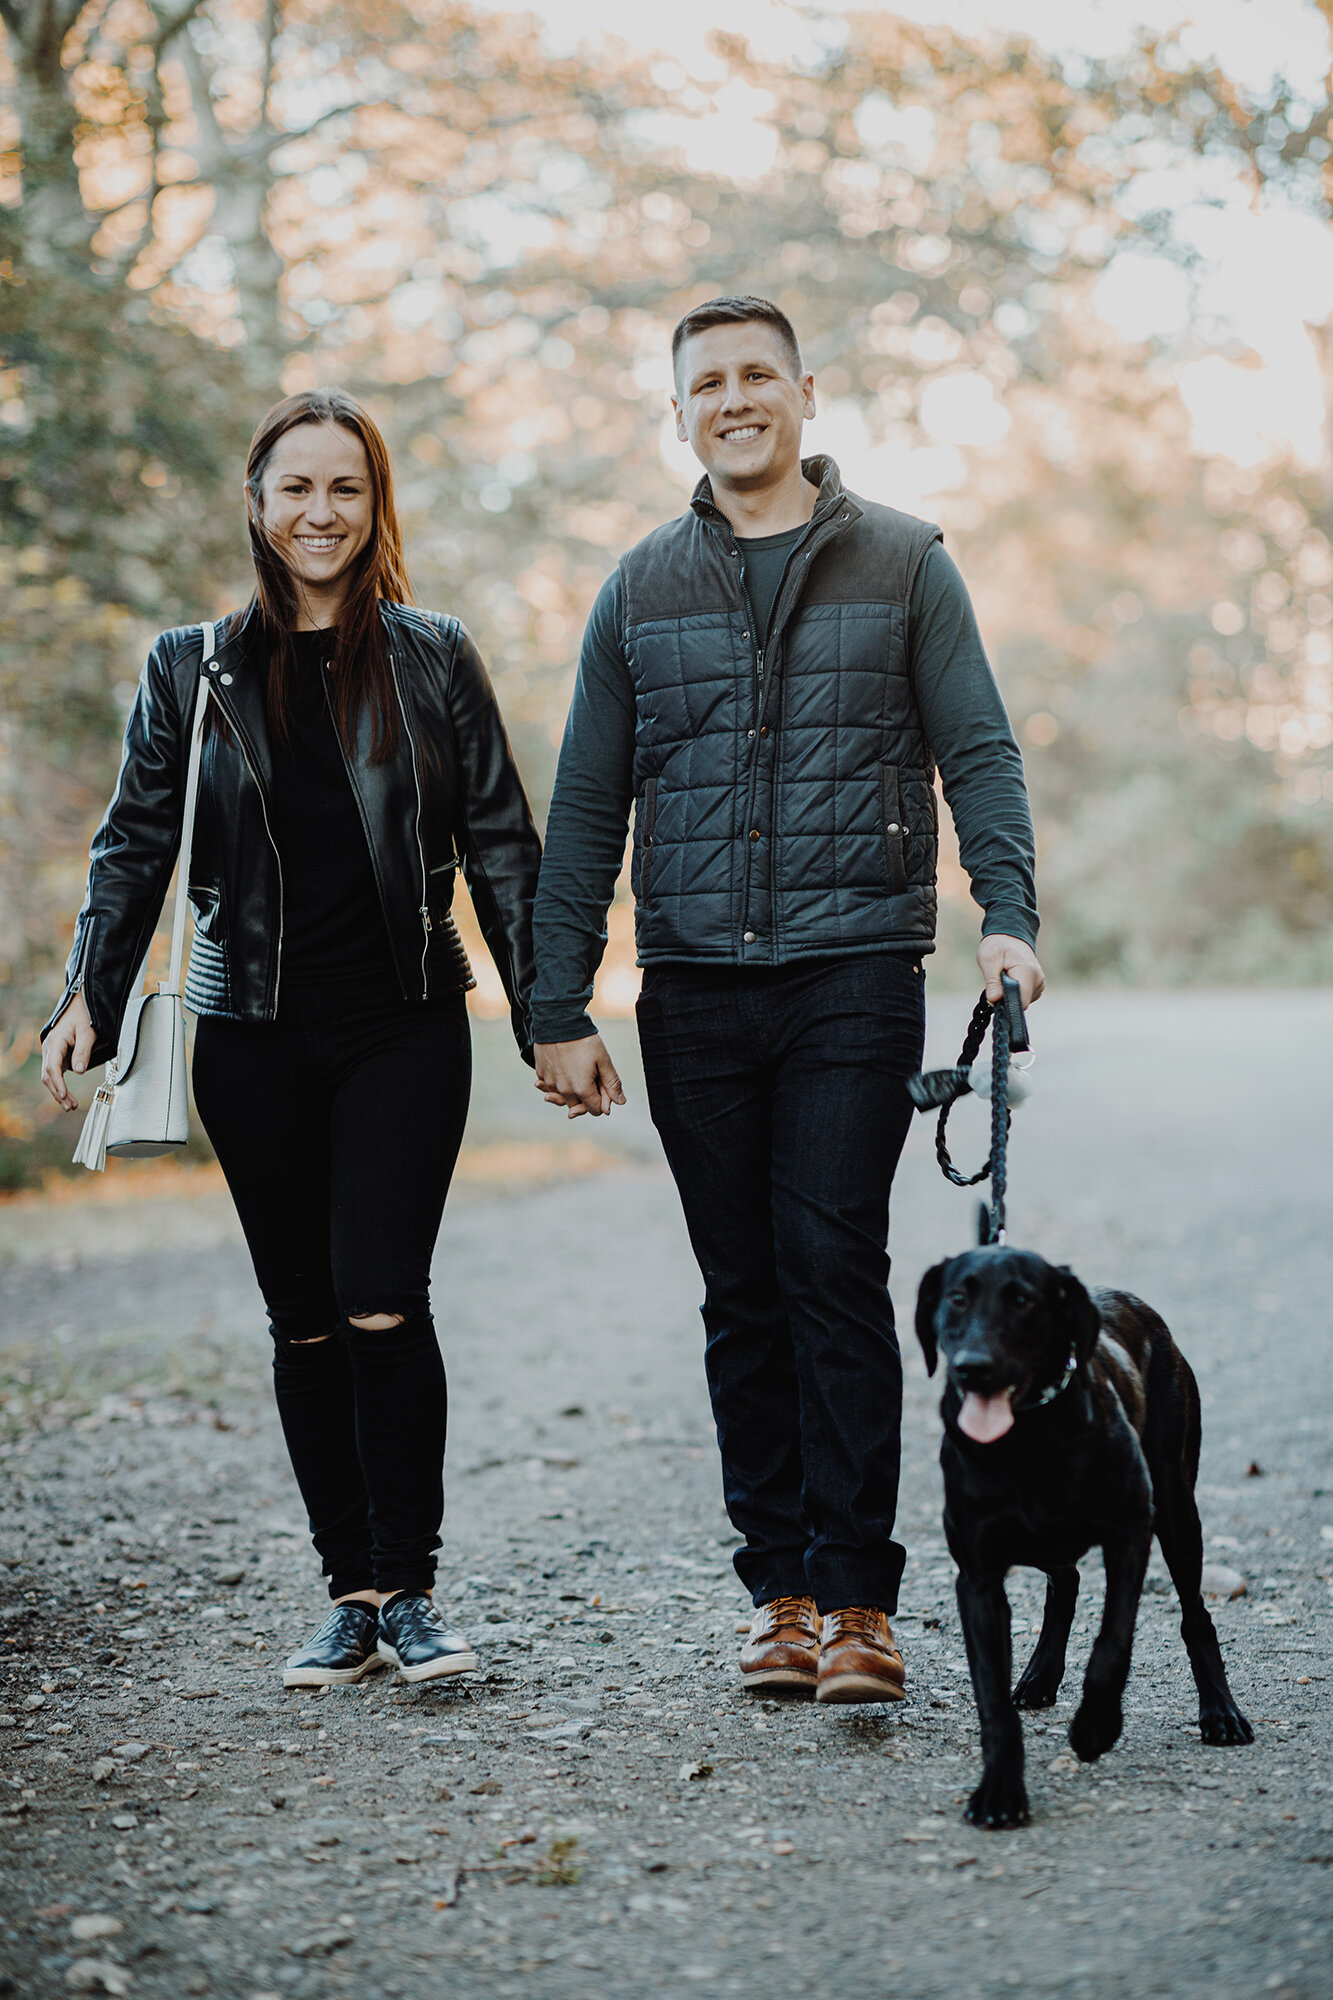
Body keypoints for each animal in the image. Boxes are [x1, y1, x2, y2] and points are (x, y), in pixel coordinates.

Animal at [912, 1248, 1248, 1832]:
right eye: (956, 1297)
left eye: (1024, 1300)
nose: (972, 1367)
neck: (1026, 1439)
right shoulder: (977, 1577)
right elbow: (991, 1697)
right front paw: (1000, 1791)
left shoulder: (1131, 1530)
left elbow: (1113, 1644)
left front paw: (1096, 1727)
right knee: (1064, 1581)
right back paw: (1040, 1676)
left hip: (1177, 1511)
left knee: (1195, 1616)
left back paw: (1220, 1713)